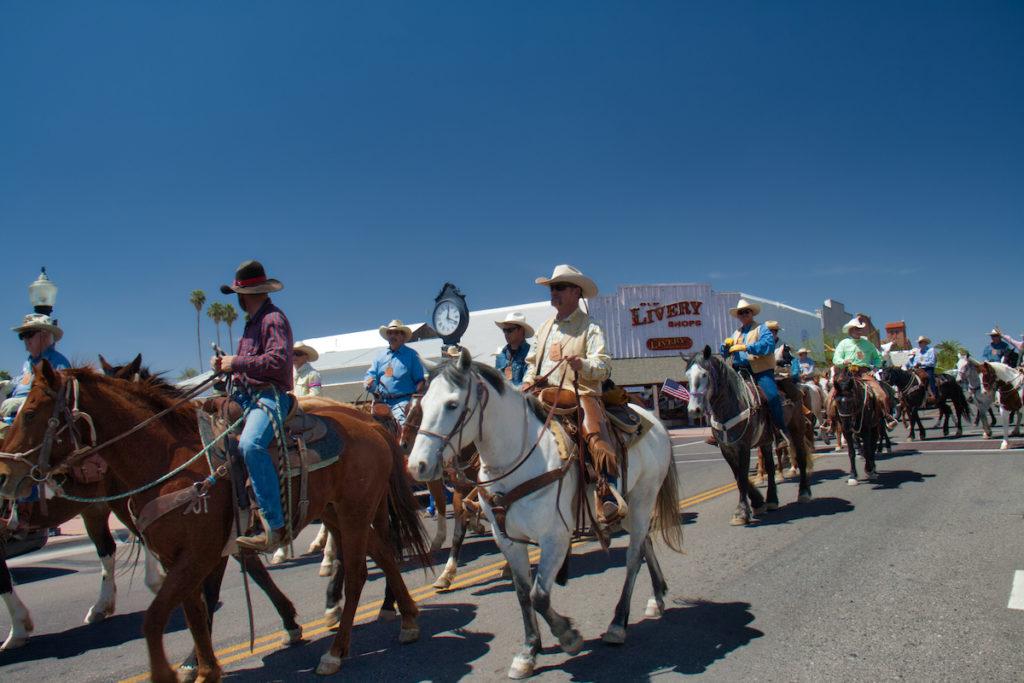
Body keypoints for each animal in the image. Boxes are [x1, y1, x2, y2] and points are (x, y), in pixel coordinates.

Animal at [0, 360, 428, 679]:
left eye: (31, 412)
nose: (4, 474)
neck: (167, 459)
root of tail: (369, 424)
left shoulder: (201, 551)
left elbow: (166, 614)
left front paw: (177, 669)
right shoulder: (188, 554)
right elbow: (194, 609)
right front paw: (203, 666)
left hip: (355, 514)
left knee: (359, 572)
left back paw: (337, 651)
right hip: (337, 513)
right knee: (383, 553)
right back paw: (405, 619)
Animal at [403, 350, 684, 679]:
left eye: (451, 404)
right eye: (423, 405)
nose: (417, 465)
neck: (517, 458)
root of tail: (654, 420)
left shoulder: (555, 537)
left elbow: (539, 595)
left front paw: (568, 636)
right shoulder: (507, 539)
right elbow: (524, 593)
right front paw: (528, 651)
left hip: (642, 499)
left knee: (632, 559)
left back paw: (618, 625)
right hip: (628, 507)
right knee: (644, 544)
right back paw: (657, 598)